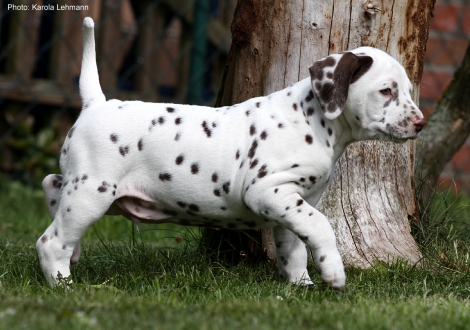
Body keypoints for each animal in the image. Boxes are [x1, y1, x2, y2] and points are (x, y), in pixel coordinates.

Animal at [37, 17, 426, 288]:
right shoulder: (269, 190)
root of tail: (97, 104)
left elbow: (296, 244)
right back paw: (63, 283)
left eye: (407, 90)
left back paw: (72, 253)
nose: (420, 123)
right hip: (93, 191)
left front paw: (301, 284)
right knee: (49, 241)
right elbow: (321, 226)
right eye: (387, 91)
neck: (312, 120)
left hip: (86, 188)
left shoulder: (295, 201)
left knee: (52, 185)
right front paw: (333, 272)